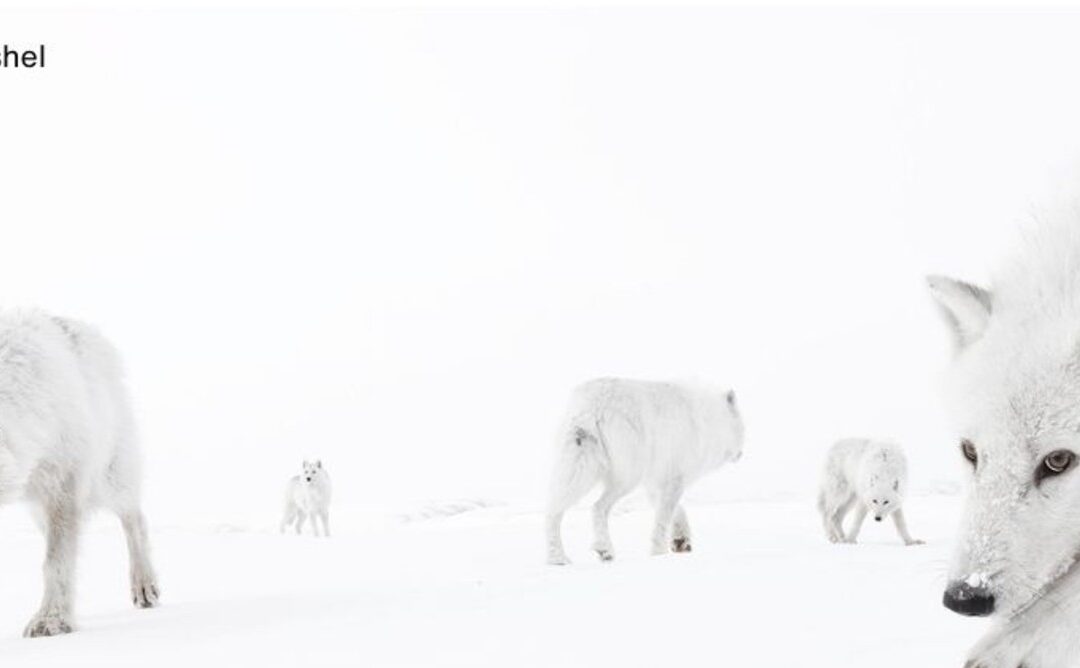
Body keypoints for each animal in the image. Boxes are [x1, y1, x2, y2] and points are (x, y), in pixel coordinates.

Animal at [0, 310, 158, 637]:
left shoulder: (63, 487)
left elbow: (55, 563)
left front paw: (51, 620)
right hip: (39, 507)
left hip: (108, 481)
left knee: (135, 519)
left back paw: (144, 584)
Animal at [545, 378, 744, 565]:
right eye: (742, 428)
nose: (741, 454)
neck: (708, 417)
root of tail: (596, 403)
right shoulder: (674, 480)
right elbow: (663, 519)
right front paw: (659, 554)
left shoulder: (656, 483)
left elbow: (677, 511)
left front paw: (680, 540)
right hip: (626, 479)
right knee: (597, 507)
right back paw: (604, 549)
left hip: (577, 472)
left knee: (553, 511)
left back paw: (558, 558)